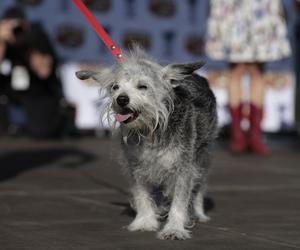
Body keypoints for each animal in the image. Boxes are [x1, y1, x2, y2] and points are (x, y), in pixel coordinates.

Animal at [74, 47, 216, 240]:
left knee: (199, 186)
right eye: (115, 87)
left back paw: (199, 213)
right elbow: (142, 196)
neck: (151, 129)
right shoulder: (137, 167)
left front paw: (174, 228)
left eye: (142, 86)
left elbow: (180, 199)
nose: (121, 99)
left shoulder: (184, 167)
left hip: (202, 156)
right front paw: (145, 221)